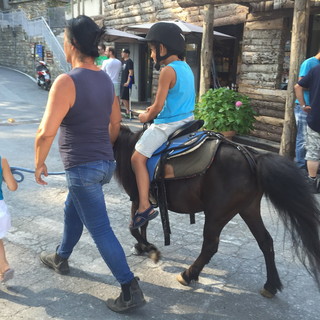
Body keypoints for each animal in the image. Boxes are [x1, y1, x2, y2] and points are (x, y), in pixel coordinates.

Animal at [114, 124, 320, 298]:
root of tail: (253, 157)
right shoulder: (143, 202)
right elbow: (143, 225)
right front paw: (142, 247)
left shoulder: (137, 198)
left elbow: (134, 227)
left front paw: (150, 249)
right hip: (248, 209)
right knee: (265, 241)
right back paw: (271, 285)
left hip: (217, 214)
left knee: (210, 245)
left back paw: (188, 274)